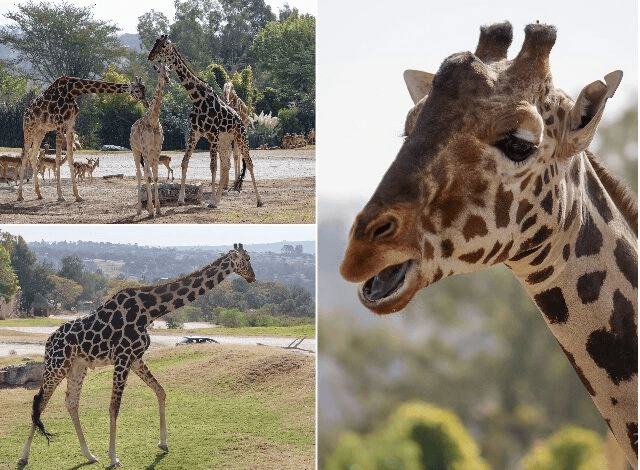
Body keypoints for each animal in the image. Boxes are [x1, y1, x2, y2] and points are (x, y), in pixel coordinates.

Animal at [16, 76, 148, 203]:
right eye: (137, 90)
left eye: (144, 89)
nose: (146, 103)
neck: (73, 91)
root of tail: (25, 113)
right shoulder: (59, 124)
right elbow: (58, 158)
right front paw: (60, 196)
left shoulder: (70, 124)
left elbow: (70, 157)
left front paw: (77, 195)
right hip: (29, 128)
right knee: (25, 154)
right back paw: (20, 196)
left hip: (41, 131)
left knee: (33, 154)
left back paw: (39, 194)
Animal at [18, 244, 256, 468]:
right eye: (246, 259)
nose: (252, 277)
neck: (149, 311)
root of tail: (48, 342)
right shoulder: (123, 357)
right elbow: (114, 407)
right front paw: (114, 457)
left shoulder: (135, 358)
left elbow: (160, 391)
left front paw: (163, 443)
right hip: (57, 365)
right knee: (39, 402)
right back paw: (23, 457)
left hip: (77, 366)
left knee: (71, 402)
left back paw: (89, 455)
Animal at [131, 62, 171, 217]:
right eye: (159, 71)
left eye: (169, 70)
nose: (166, 79)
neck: (153, 120)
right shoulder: (146, 149)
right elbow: (148, 176)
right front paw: (151, 210)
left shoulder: (157, 149)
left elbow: (155, 176)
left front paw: (158, 209)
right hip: (136, 150)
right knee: (139, 173)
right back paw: (139, 210)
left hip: (147, 154)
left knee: (146, 172)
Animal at [147, 35, 263, 208]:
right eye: (155, 43)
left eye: (163, 45)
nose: (150, 56)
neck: (197, 99)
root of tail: (240, 119)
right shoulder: (195, 133)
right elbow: (185, 162)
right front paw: (181, 199)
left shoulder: (212, 134)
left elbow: (213, 167)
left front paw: (211, 200)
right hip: (224, 141)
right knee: (226, 165)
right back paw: (218, 200)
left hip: (240, 137)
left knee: (248, 163)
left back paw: (259, 200)